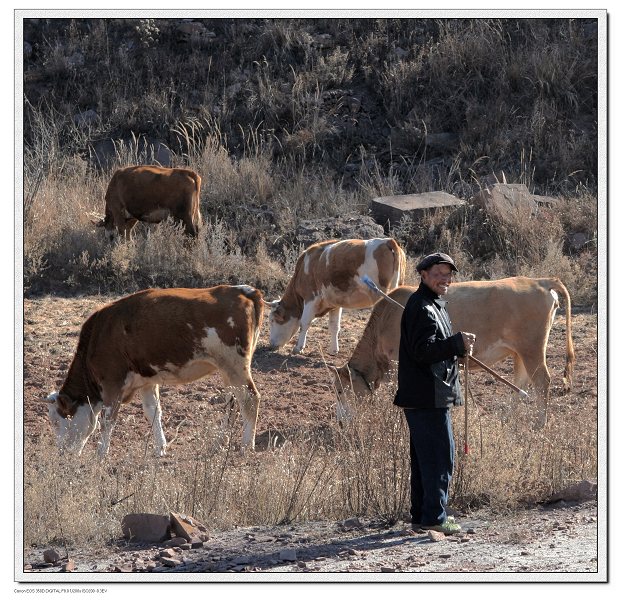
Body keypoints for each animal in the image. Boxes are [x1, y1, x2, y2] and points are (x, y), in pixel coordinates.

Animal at [43, 284, 262, 458]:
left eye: (57, 421)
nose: (61, 453)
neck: (100, 335)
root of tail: (243, 291)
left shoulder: (112, 383)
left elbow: (107, 420)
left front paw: (100, 455)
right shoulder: (146, 382)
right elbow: (153, 412)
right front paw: (160, 448)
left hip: (235, 366)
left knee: (250, 399)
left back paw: (246, 446)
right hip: (226, 370)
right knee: (231, 403)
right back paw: (218, 444)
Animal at [266, 237, 406, 354]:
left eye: (273, 320)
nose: (270, 345)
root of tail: (388, 241)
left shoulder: (310, 298)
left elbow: (304, 323)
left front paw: (298, 348)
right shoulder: (334, 303)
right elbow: (334, 326)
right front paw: (333, 350)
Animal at [332, 276, 572, 426]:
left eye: (341, 391)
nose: (341, 422)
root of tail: (539, 281)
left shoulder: (398, 364)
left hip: (532, 349)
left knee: (542, 381)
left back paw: (540, 422)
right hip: (520, 352)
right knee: (521, 383)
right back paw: (507, 418)